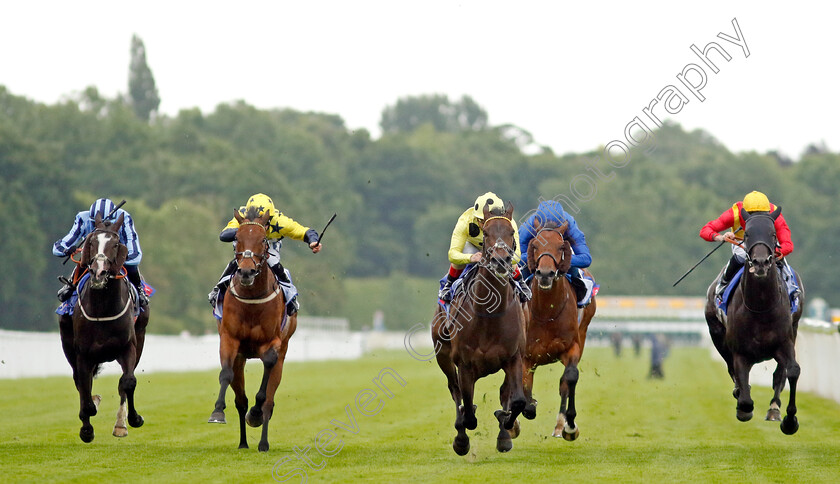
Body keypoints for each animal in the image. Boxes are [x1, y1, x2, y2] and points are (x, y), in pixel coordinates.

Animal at [58, 212, 149, 442]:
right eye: (91, 241)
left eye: (116, 244)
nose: (98, 273)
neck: (103, 308)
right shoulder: (83, 353)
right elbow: (85, 392)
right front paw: (87, 428)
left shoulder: (128, 346)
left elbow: (128, 382)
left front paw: (132, 420)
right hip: (68, 344)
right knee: (80, 381)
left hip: (140, 337)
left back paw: (120, 424)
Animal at [208, 209, 296, 454]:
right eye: (237, 238)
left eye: (264, 239)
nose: (246, 271)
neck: (252, 299)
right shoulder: (229, 340)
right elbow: (225, 374)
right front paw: (217, 412)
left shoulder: (273, 343)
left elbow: (265, 386)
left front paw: (255, 414)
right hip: (240, 359)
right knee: (241, 400)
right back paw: (243, 442)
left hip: (282, 356)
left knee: (268, 402)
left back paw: (263, 442)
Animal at [430, 202, 528, 456]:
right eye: (486, 234)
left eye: (511, 233)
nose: (501, 260)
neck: (489, 314)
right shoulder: (464, 364)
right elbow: (467, 409)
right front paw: (462, 435)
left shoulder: (514, 357)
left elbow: (516, 401)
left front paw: (505, 427)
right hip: (443, 356)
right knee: (454, 390)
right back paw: (461, 437)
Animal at [512, 221, 596, 440]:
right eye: (534, 246)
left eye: (560, 247)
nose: (545, 274)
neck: (546, 312)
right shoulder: (526, 356)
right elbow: (524, 388)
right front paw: (524, 410)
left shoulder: (572, 347)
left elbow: (570, 378)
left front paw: (569, 425)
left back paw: (560, 425)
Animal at [704, 205, 804, 434]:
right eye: (747, 234)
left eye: (773, 234)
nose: (760, 263)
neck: (761, 307)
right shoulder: (740, 352)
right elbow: (744, 394)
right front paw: (743, 407)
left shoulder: (785, 341)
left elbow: (792, 371)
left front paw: (790, 420)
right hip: (716, 332)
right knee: (731, 369)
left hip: (794, 329)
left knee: (779, 374)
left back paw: (774, 408)